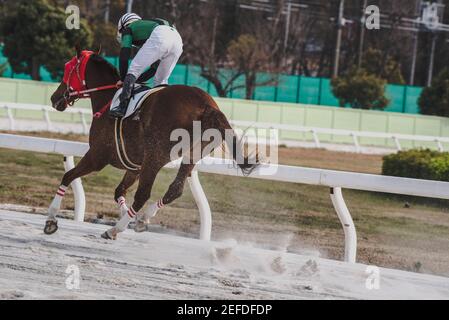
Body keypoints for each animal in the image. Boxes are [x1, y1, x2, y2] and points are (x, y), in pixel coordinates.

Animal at [46, 48, 258, 240]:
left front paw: (51, 220)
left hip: (155, 157)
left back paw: (114, 230)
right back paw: (141, 220)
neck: (108, 99)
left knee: (143, 194)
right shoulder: (134, 166)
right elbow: (118, 191)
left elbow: (68, 176)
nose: (54, 97)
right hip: (190, 155)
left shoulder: (97, 156)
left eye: (67, 68)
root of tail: (207, 106)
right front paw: (131, 218)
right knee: (175, 189)